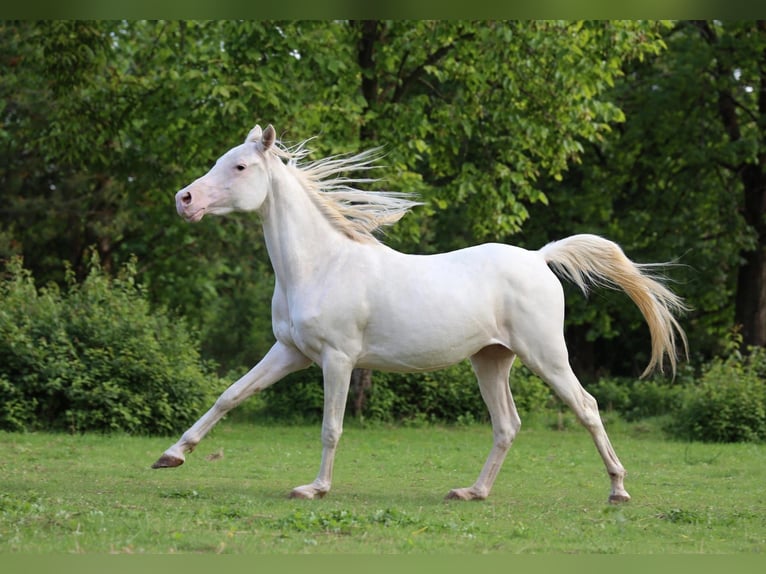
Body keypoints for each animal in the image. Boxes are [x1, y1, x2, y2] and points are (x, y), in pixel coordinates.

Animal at [152, 123, 687, 503]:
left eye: (241, 167)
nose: (183, 199)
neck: (320, 265)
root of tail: (539, 258)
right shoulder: (289, 352)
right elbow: (230, 396)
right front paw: (171, 456)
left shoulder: (337, 360)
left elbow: (331, 426)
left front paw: (313, 489)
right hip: (491, 360)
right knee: (507, 424)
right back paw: (472, 492)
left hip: (546, 357)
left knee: (587, 407)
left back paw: (618, 489)